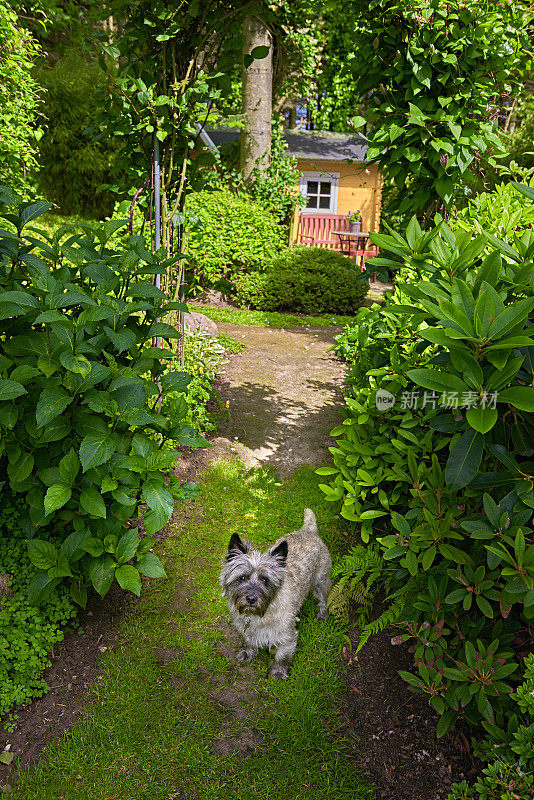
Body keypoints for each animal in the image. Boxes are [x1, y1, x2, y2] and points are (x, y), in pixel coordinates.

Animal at [220, 510, 332, 680]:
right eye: (242, 577)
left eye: (265, 580)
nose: (251, 599)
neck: (260, 614)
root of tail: (309, 530)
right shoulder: (247, 629)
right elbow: (249, 640)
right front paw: (248, 652)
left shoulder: (287, 637)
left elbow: (282, 656)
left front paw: (279, 672)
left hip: (321, 582)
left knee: (323, 599)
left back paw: (322, 614)